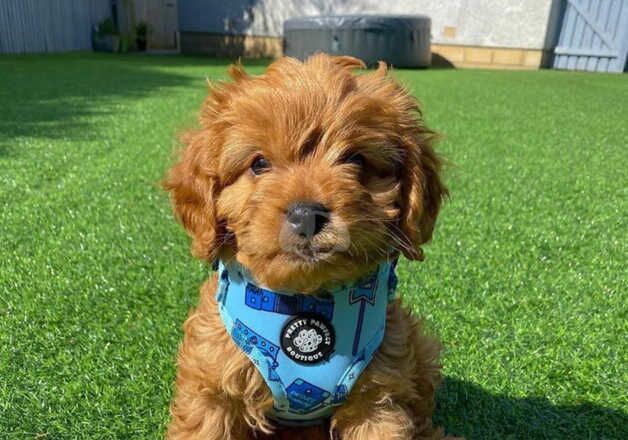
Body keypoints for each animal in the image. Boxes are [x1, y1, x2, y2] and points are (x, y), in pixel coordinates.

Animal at [164, 53, 448, 438]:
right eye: (259, 163)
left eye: (356, 160)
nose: (307, 214)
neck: (305, 299)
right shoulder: (212, 385)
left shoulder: (378, 397)